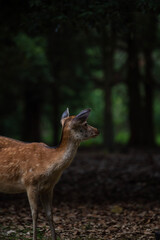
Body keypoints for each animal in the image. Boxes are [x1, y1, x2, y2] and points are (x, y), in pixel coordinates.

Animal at [0, 108, 99, 240]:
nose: (97, 130)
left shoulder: (49, 187)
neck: (48, 164)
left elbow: (49, 213)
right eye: (85, 123)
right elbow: (34, 214)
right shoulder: (30, 183)